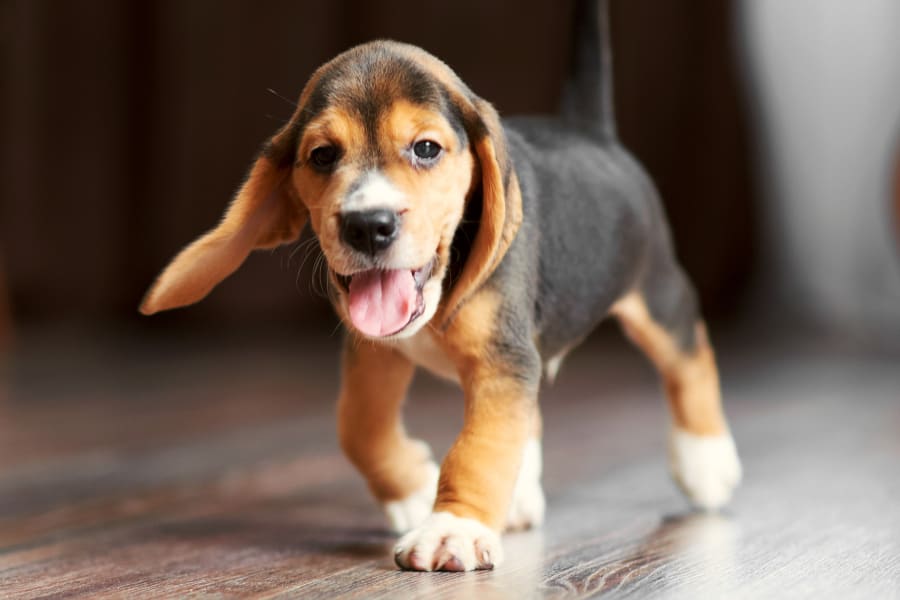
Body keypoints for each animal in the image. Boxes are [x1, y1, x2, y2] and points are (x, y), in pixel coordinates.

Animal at [142, 0, 740, 572]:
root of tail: (592, 131)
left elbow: (478, 447)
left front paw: (455, 527)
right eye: (322, 155)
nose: (368, 225)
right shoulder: (375, 352)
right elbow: (358, 427)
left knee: (689, 357)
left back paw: (706, 460)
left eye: (426, 149)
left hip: (657, 292)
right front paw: (413, 489)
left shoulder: (502, 359)